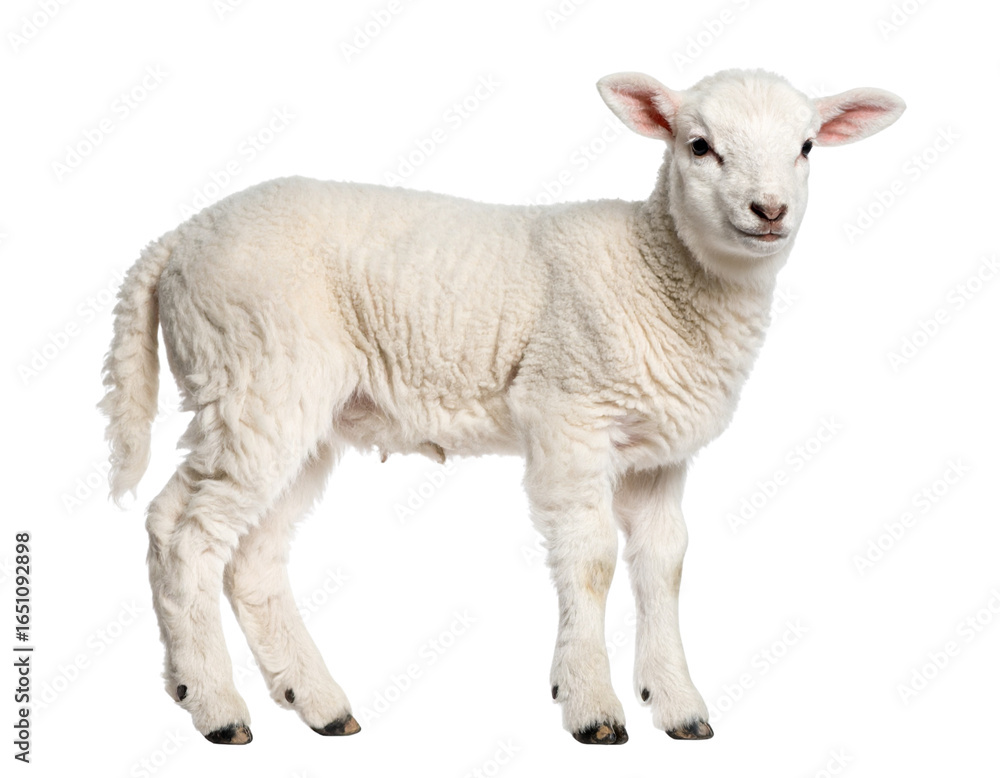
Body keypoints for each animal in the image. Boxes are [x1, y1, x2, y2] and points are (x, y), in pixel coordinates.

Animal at [100, 68, 904, 745]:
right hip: (250, 375)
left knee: (254, 558)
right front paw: (592, 708)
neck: (658, 271)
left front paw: (677, 706)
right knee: (181, 533)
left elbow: (664, 563)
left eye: (806, 147)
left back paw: (315, 703)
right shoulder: (570, 413)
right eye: (699, 146)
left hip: (299, 409)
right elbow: (592, 560)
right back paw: (212, 704)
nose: (769, 210)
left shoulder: (658, 453)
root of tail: (176, 240)